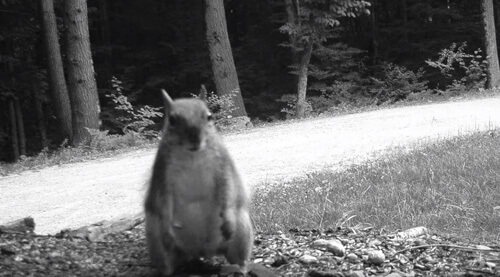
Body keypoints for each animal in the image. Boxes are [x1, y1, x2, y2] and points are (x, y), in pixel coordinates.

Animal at [145, 89, 254, 274]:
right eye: (171, 120)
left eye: (209, 116)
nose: (195, 138)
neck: (192, 156)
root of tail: (202, 251)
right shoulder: (162, 175)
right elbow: (163, 203)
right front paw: (167, 232)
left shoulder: (223, 167)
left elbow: (228, 190)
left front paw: (228, 221)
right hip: (156, 240)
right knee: (167, 262)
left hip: (241, 231)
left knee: (238, 257)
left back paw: (241, 268)